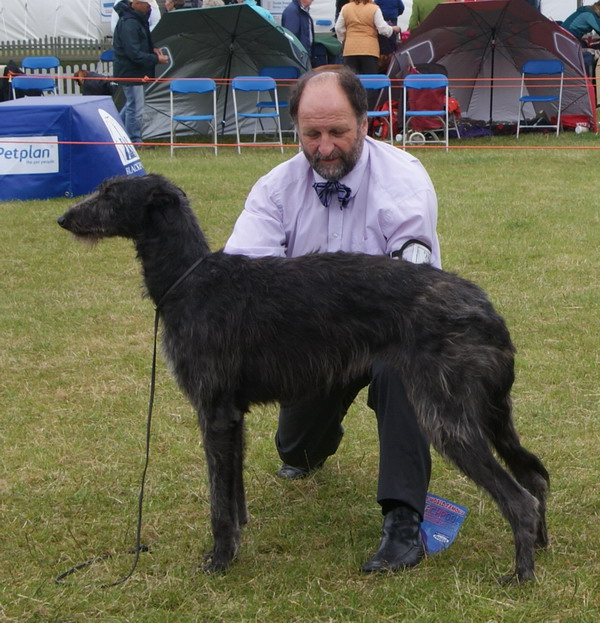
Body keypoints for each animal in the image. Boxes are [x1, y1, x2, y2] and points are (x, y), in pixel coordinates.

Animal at [58, 173, 552, 584]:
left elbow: (218, 501)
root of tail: (487, 308)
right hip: (489, 410)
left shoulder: (213, 412)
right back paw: (542, 546)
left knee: (518, 498)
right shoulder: (231, 416)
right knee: (534, 475)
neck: (190, 279)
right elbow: (233, 492)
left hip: (445, 413)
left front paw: (219, 559)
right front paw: (238, 538)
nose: (63, 218)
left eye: (109, 193)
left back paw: (520, 574)